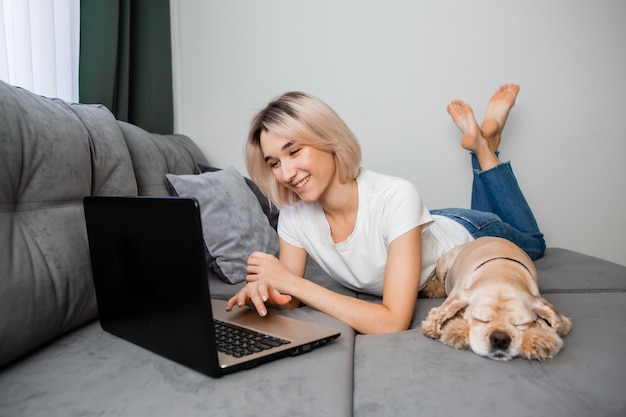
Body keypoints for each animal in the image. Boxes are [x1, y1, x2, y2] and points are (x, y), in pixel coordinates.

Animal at [420, 237, 572, 360]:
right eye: (481, 319)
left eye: (519, 324)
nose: (500, 339)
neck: (502, 273)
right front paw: (457, 332)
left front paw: (539, 340)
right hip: (443, 265)